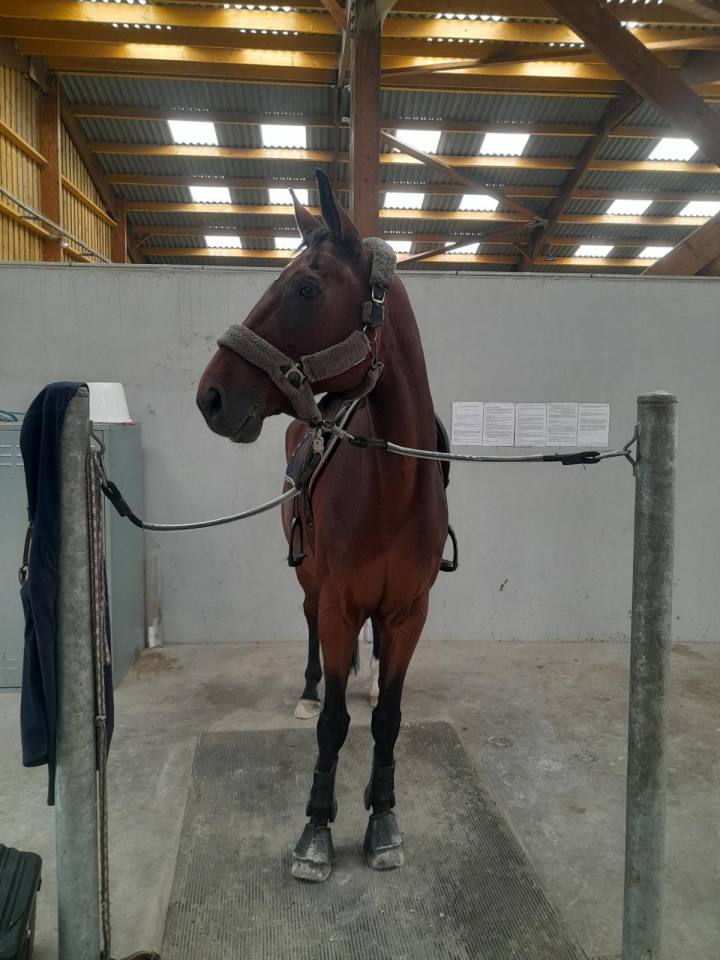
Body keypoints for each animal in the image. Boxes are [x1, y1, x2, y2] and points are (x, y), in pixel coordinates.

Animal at [197, 169, 449, 882]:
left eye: (306, 288)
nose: (211, 396)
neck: (392, 490)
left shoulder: (408, 613)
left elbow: (388, 718)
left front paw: (382, 816)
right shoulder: (338, 605)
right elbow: (333, 724)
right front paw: (316, 826)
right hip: (311, 584)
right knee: (308, 628)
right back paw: (309, 688)